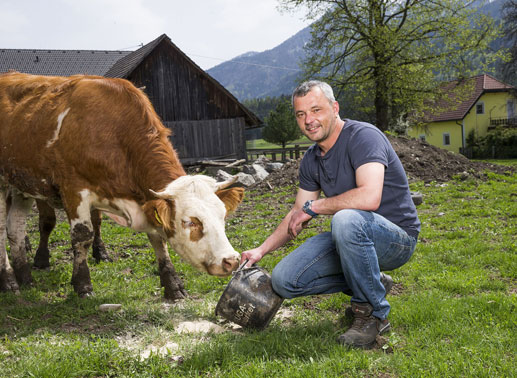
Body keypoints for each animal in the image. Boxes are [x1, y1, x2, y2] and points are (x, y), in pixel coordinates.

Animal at [0, 72, 243, 300]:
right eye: (190, 221)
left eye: (222, 215)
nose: (231, 260)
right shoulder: (73, 189)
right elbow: (83, 236)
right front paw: (82, 285)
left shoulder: (146, 202)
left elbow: (158, 240)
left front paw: (173, 285)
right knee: (3, 230)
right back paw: (9, 281)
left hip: (22, 184)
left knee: (15, 229)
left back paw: (25, 277)